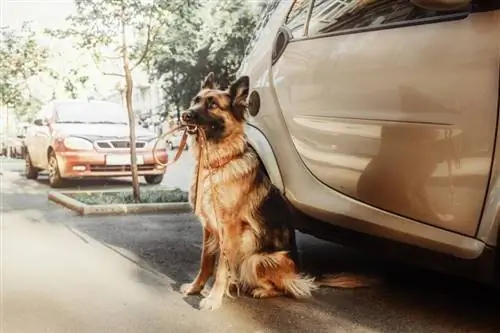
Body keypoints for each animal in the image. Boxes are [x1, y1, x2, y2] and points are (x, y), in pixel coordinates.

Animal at [180, 73, 368, 312]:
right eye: (195, 100)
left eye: (213, 105)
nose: (184, 115)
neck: (219, 163)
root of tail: (299, 272)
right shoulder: (209, 228)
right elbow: (205, 262)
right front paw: (196, 288)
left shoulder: (229, 229)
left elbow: (222, 266)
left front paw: (214, 298)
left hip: (256, 258)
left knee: (288, 288)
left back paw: (260, 290)